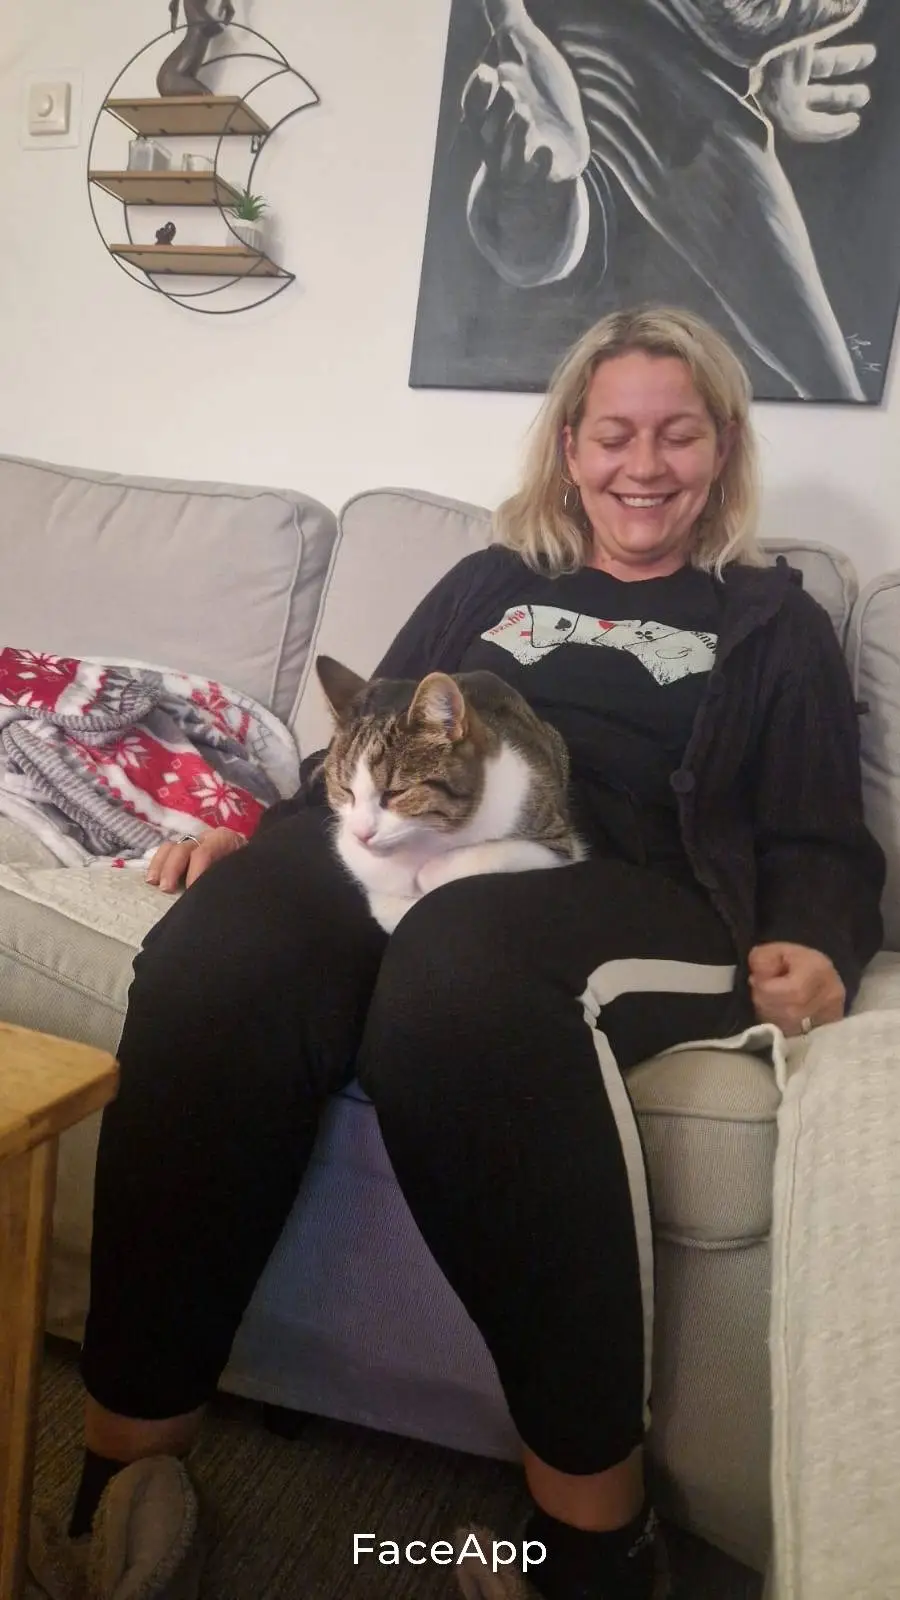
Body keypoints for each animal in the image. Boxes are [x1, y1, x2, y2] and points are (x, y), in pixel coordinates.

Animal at [315, 654, 585, 934]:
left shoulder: (557, 843)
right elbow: (382, 893)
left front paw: (425, 878)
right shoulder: (352, 850)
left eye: (396, 792)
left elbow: (473, 859)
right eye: (345, 789)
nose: (362, 834)